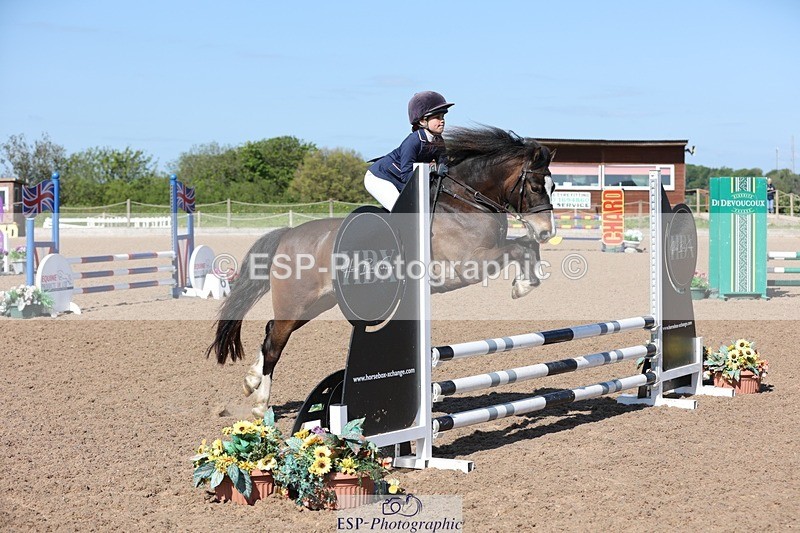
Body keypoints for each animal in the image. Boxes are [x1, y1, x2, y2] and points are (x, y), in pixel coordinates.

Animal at [207, 126, 556, 417]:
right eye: (535, 185)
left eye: (554, 186)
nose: (547, 231)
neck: (465, 202)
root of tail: (288, 235)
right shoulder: (469, 264)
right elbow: (517, 249)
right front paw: (522, 286)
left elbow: (525, 246)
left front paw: (528, 279)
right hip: (297, 302)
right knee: (274, 345)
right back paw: (260, 404)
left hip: (317, 303)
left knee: (271, 331)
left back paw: (250, 381)